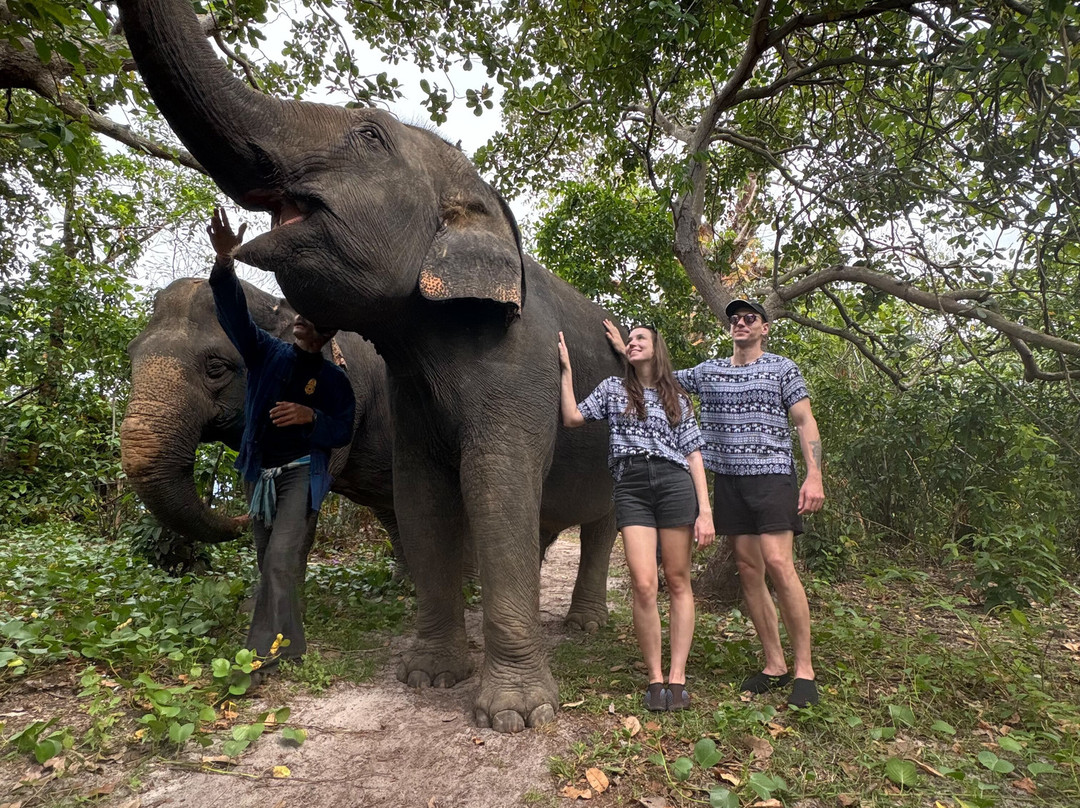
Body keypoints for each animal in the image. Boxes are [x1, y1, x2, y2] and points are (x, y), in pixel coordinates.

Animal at [118, 0, 624, 734]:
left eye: (369, 136)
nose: (229, 230)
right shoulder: (406, 392)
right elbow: (422, 493)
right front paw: (428, 675)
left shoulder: (517, 362)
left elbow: (495, 483)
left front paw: (515, 717)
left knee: (602, 523)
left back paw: (584, 628)